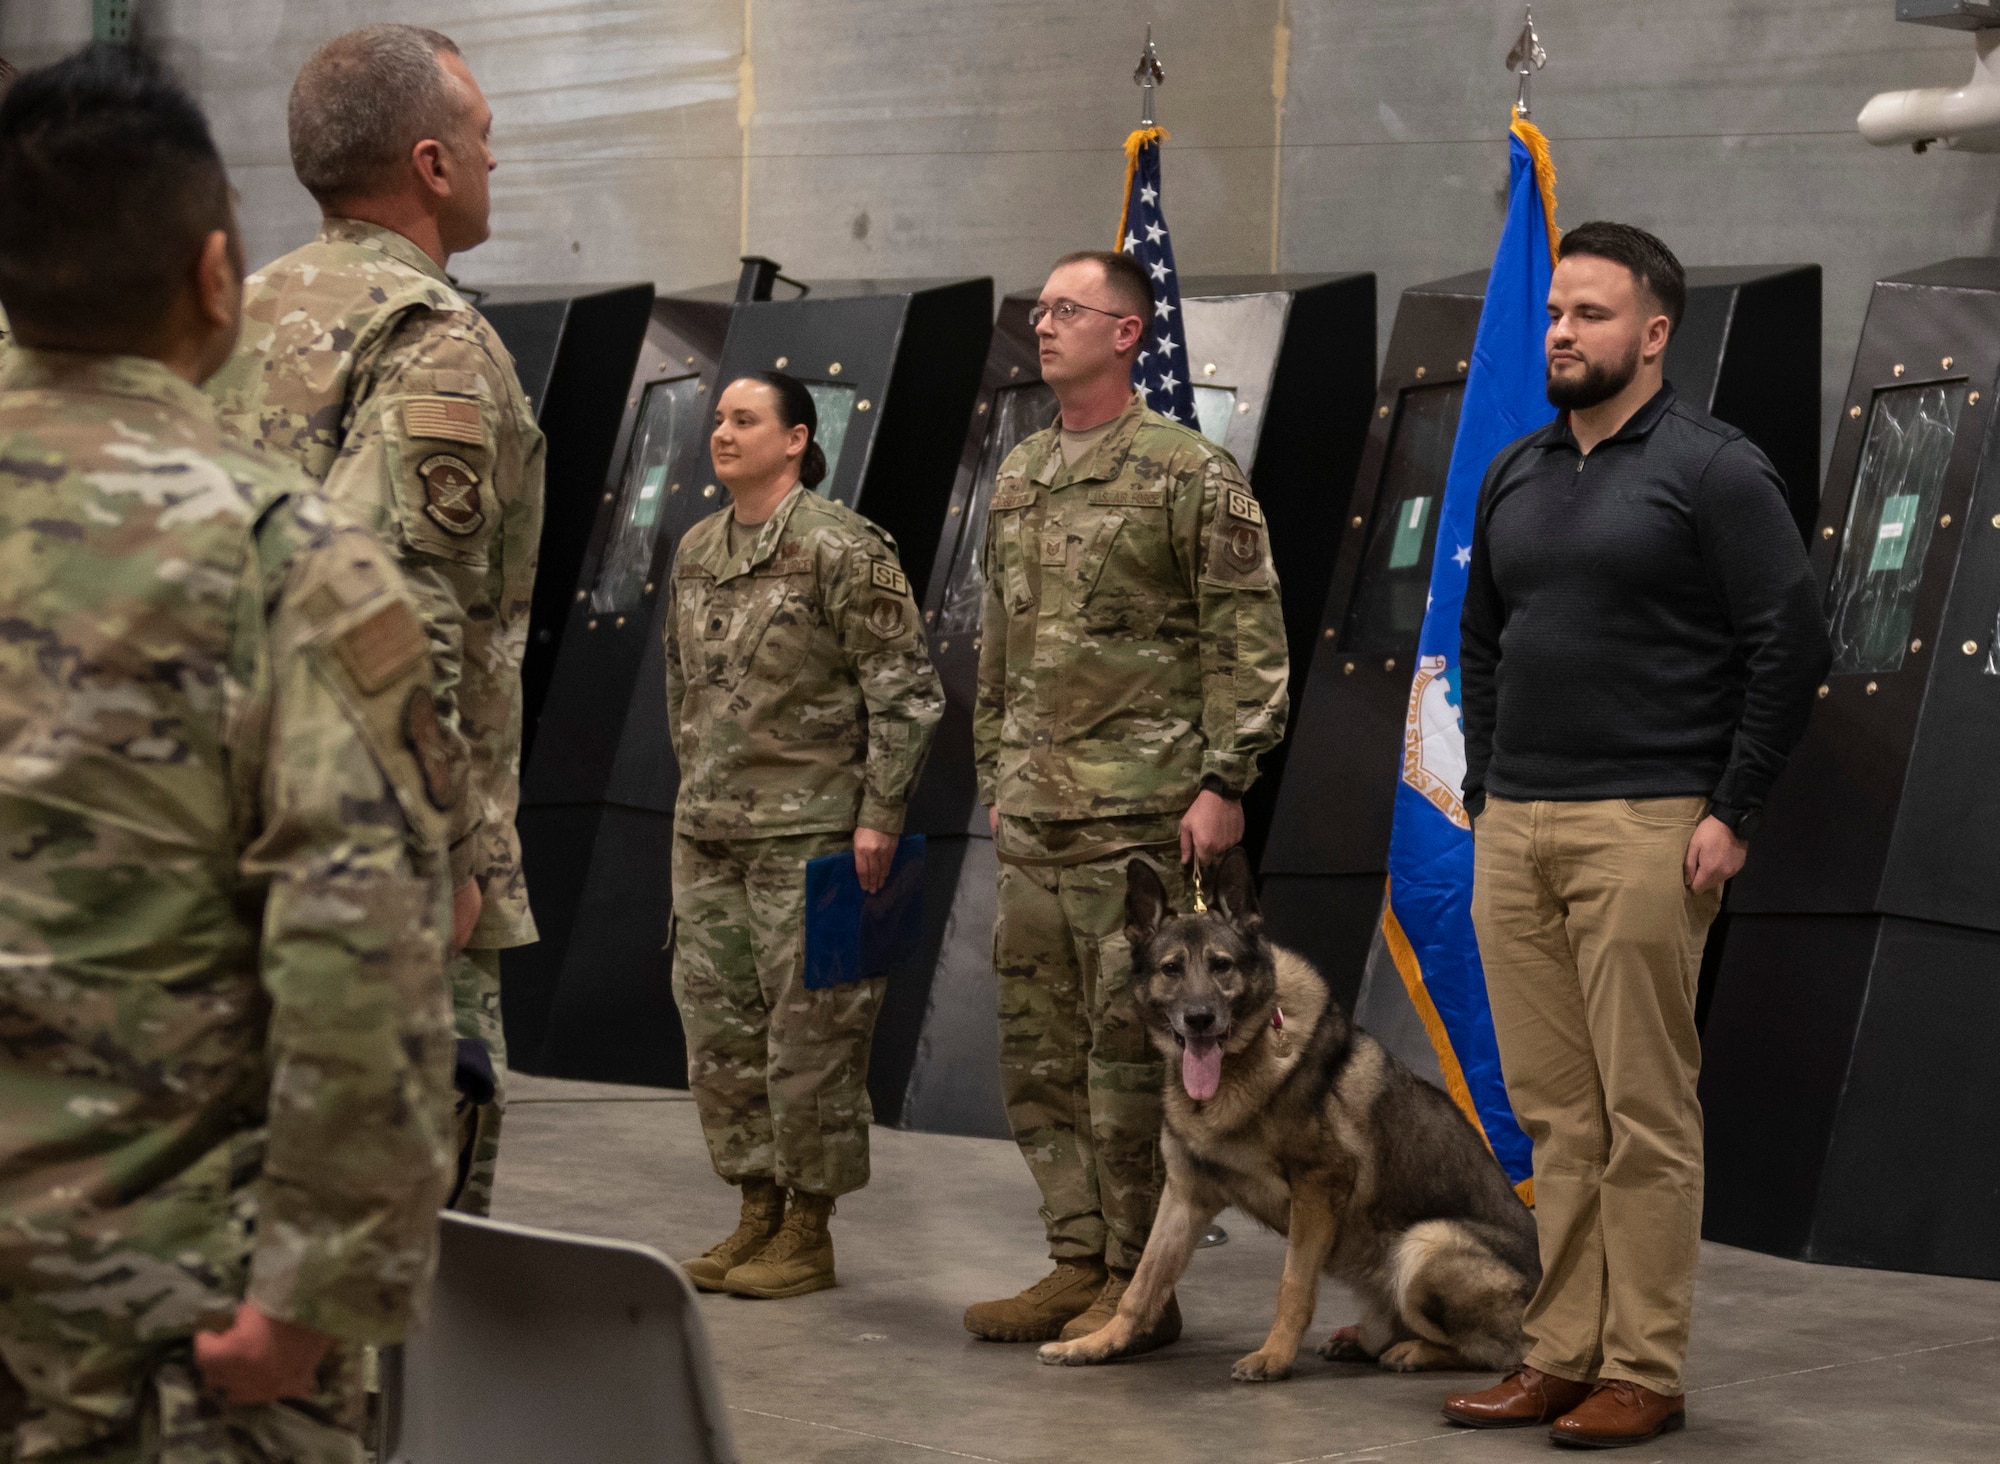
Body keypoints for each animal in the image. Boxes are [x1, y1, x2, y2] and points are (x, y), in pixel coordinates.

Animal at [1040, 848, 1536, 1384]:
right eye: (1172, 969)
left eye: (1221, 966)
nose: (1199, 1019)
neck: (1240, 1063)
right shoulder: (1185, 1195)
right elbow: (1142, 1284)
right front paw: (1096, 1343)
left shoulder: (1318, 1186)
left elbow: (1293, 1285)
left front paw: (1274, 1356)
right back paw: (1362, 1339)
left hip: (1426, 1242)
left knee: (1494, 1352)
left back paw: (1414, 1352)